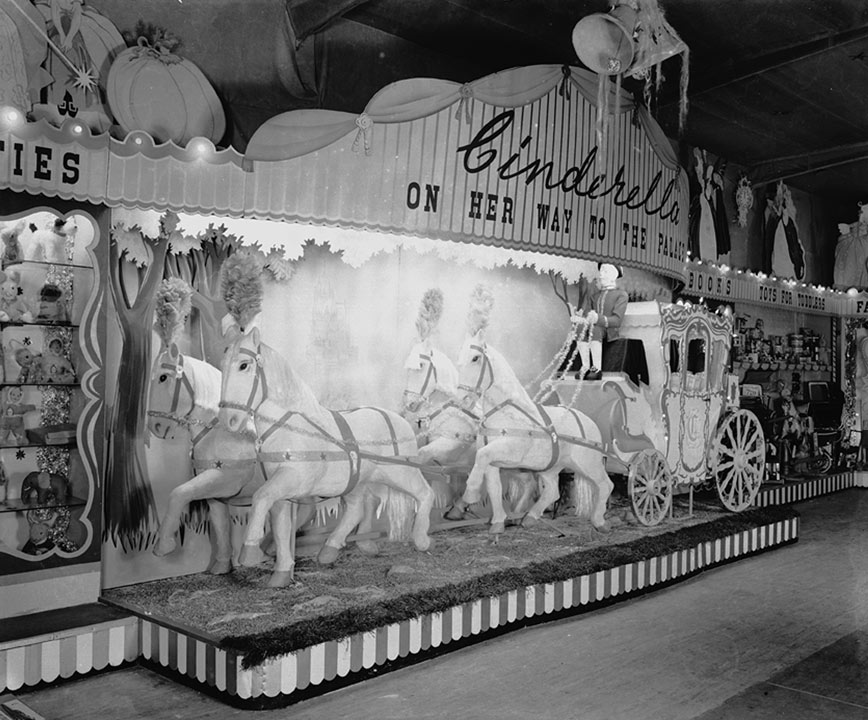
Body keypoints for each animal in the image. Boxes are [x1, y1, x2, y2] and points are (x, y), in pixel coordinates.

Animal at [217, 328, 434, 584]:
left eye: (243, 365)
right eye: (222, 365)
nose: (228, 421)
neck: (291, 426)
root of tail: (400, 419)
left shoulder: (293, 479)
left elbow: (259, 497)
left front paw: (250, 553)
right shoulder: (281, 492)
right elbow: (280, 527)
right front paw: (281, 574)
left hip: (402, 472)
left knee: (425, 494)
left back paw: (421, 540)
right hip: (357, 481)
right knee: (357, 508)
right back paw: (330, 550)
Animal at [450, 334, 612, 536]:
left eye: (475, 358)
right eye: (459, 360)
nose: (461, 399)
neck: (507, 413)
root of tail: (589, 422)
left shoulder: (508, 451)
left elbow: (481, 456)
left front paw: (470, 494)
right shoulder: (493, 463)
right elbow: (494, 488)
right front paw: (497, 523)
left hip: (588, 464)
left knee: (605, 485)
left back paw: (600, 522)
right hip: (550, 467)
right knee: (552, 491)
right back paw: (528, 518)